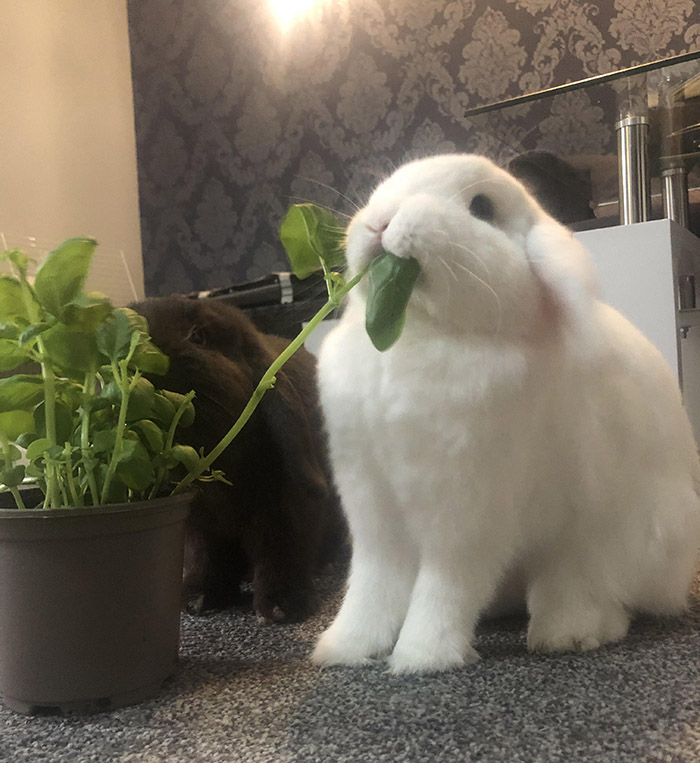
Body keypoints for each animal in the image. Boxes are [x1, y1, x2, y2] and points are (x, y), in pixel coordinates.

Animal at [132, 295, 346, 623]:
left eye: (199, 336)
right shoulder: (200, 529)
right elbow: (206, 560)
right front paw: (198, 600)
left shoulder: (286, 511)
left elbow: (282, 553)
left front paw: (282, 608)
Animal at [311, 153, 700, 674]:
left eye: (481, 208)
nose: (380, 221)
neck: (419, 333)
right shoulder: (373, 511)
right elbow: (372, 587)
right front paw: (344, 648)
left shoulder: (467, 512)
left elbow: (446, 585)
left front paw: (423, 657)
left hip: (608, 536)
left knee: (592, 593)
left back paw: (568, 634)